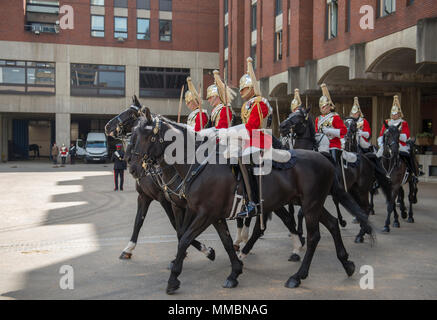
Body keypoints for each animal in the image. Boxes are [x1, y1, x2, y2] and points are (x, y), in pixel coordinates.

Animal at [104, 95, 215, 264]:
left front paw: (203, 250)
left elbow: (177, 225)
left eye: (130, 113)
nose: (107, 126)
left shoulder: (166, 199)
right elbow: (138, 221)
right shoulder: (144, 196)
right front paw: (128, 248)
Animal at [132, 108, 372, 296]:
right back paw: (347, 263)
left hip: (312, 205)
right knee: (332, 224)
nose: (133, 168)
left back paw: (297, 275)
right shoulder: (213, 215)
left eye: (146, 136)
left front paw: (173, 279)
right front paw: (234, 271)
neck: (199, 164)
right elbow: (225, 241)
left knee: (314, 236)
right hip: (312, 204)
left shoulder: (205, 214)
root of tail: (325, 160)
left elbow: (184, 239)